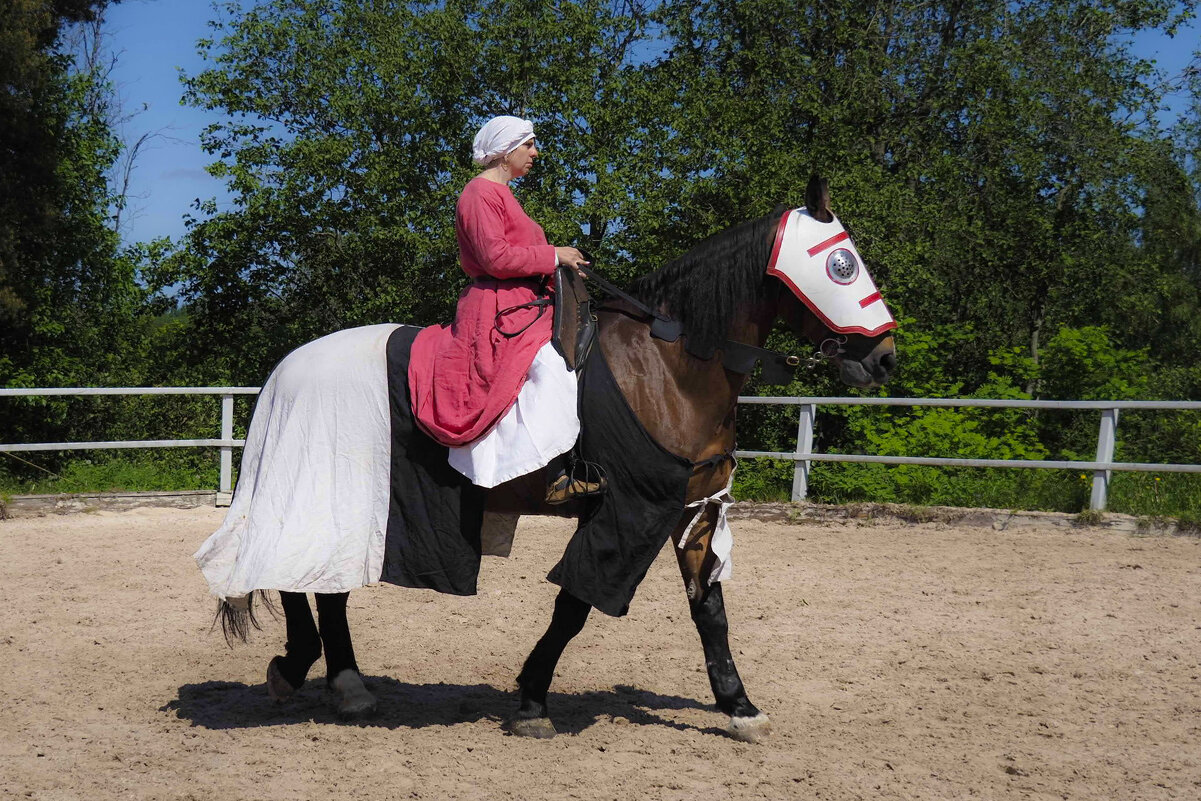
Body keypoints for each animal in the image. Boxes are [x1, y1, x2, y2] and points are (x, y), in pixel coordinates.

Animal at [204, 176, 893, 744]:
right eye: (842, 264)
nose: (884, 358)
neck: (670, 368)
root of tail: (287, 370)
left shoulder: (688, 507)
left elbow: (709, 609)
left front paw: (739, 706)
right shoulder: (623, 510)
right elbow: (575, 606)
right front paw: (533, 699)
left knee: (326, 584)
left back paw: (345, 684)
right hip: (325, 493)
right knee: (298, 574)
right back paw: (300, 669)